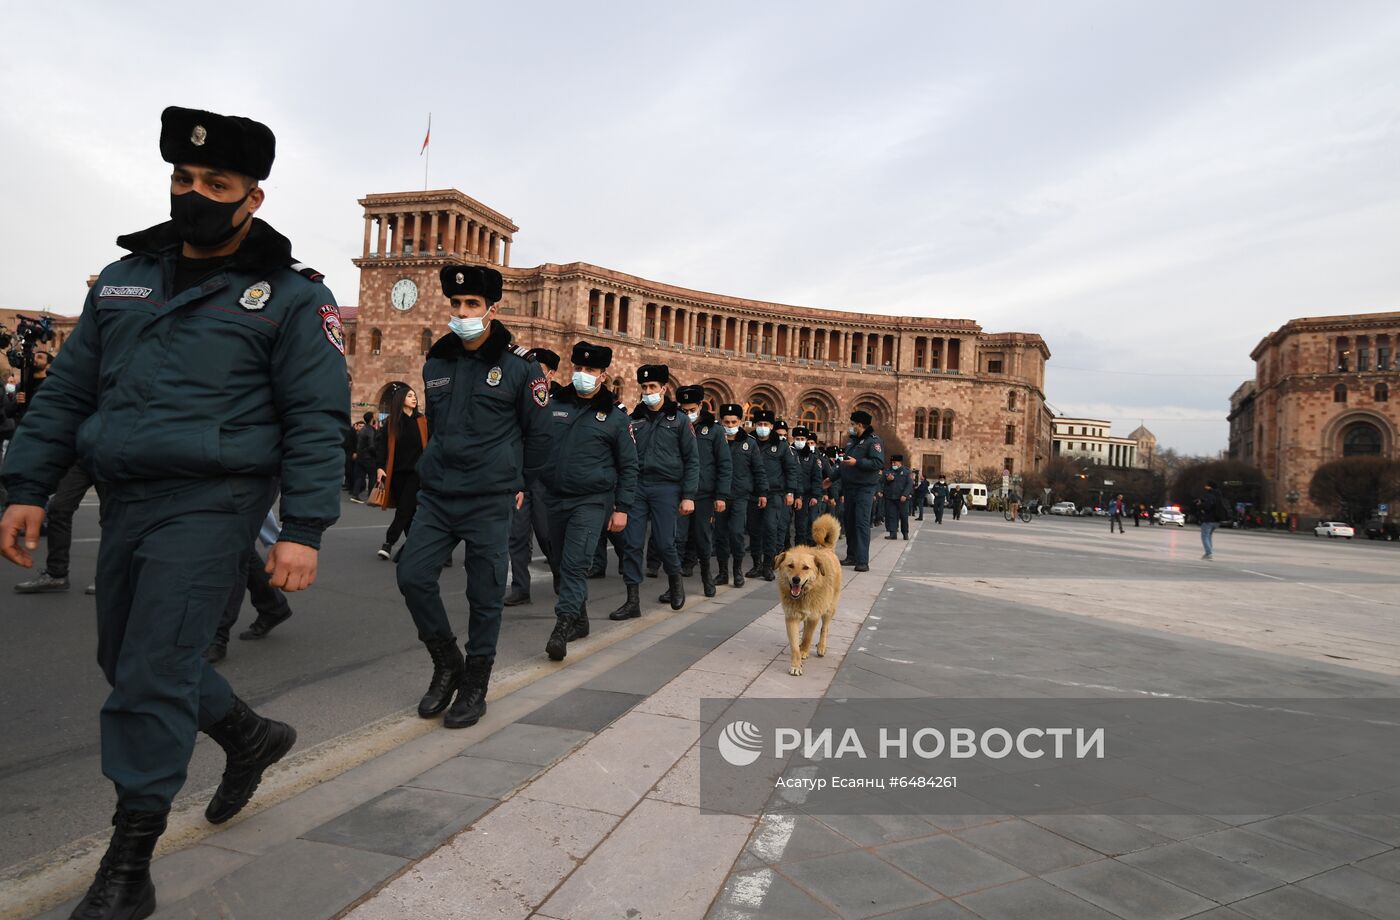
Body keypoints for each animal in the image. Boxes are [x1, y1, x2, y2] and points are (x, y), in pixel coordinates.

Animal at [778, 512, 840, 677]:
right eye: (790, 565)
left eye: (806, 567)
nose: (796, 579)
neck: (804, 595)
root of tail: (825, 548)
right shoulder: (791, 617)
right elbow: (794, 645)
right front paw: (796, 664)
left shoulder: (814, 616)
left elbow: (808, 636)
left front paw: (804, 651)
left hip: (829, 609)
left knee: (824, 628)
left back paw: (821, 647)